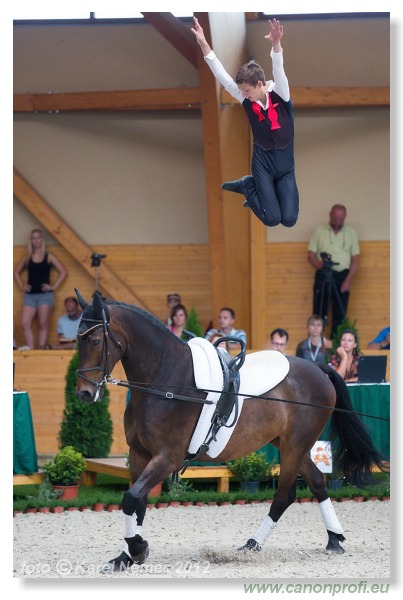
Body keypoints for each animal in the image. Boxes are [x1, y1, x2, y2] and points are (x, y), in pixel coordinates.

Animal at [75, 290, 388, 572]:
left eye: (95, 339)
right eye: (77, 341)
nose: (84, 394)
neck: (164, 380)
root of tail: (319, 368)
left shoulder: (167, 457)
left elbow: (131, 498)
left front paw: (138, 549)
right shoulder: (139, 453)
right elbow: (136, 502)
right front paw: (126, 556)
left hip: (295, 445)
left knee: (285, 495)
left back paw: (257, 544)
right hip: (289, 445)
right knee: (317, 483)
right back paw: (331, 540)